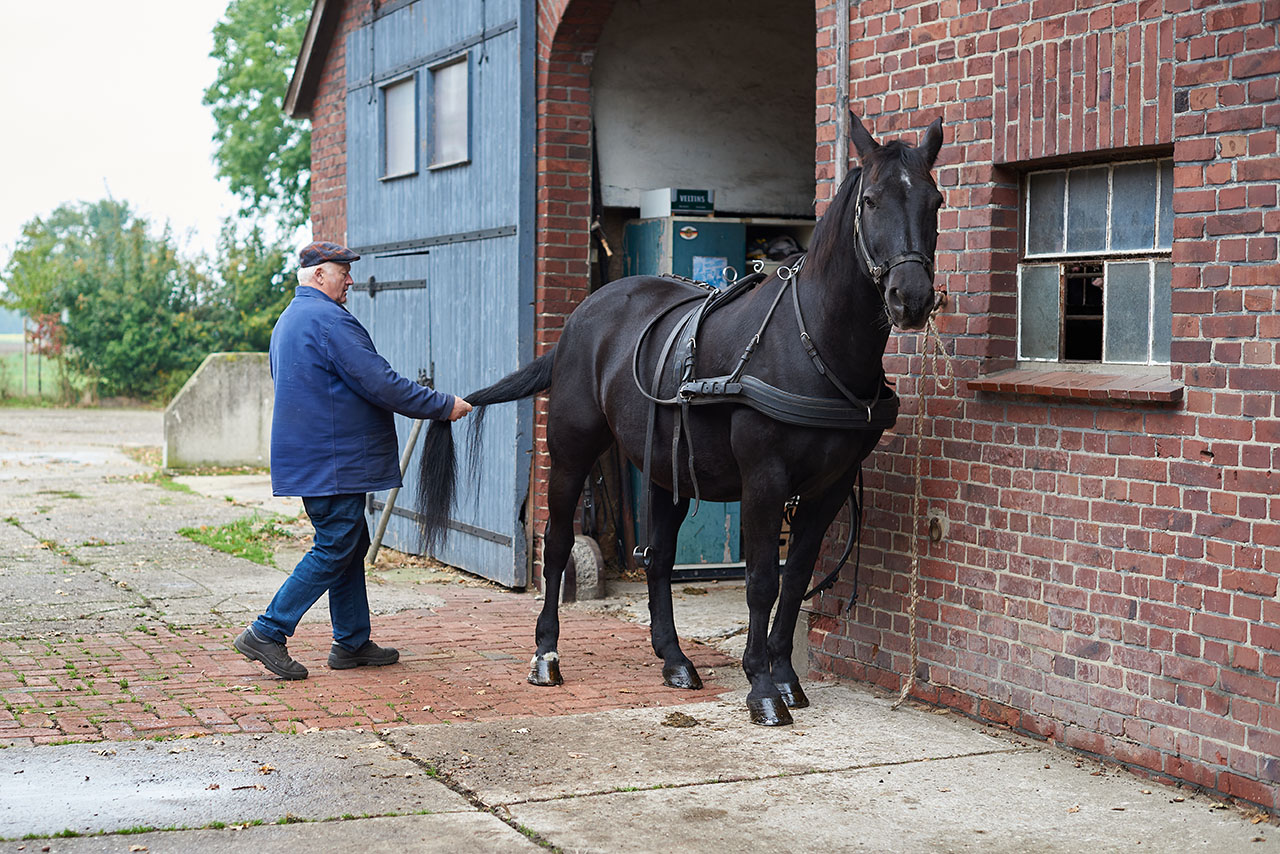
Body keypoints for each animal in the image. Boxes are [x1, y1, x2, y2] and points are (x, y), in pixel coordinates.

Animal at [419, 112, 942, 727]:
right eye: (872, 201)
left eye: (934, 200)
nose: (911, 298)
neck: (812, 343)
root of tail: (583, 316)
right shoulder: (764, 481)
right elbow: (761, 582)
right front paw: (761, 686)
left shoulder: (828, 489)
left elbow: (795, 580)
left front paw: (786, 677)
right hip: (571, 452)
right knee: (556, 545)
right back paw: (546, 654)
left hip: (665, 470)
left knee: (660, 560)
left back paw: (673, 659)